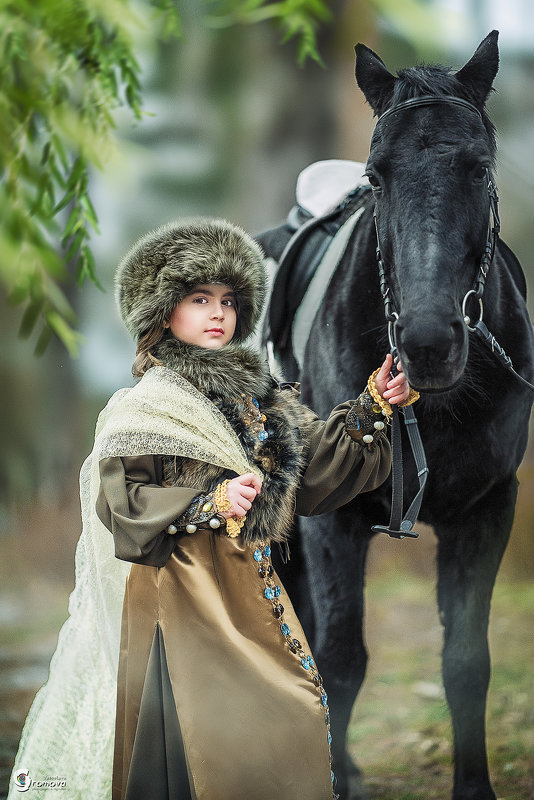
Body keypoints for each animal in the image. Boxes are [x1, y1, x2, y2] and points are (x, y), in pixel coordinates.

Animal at [258, 31, 532, 800]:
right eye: (378, 178)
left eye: (478, 167)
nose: (429, 343)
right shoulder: (332, 521)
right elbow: (340, 659)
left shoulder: (485, 511)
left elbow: (466, 662)